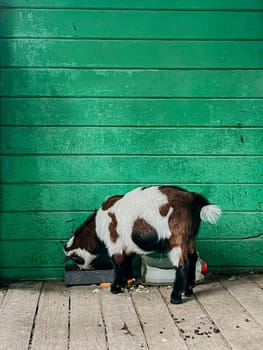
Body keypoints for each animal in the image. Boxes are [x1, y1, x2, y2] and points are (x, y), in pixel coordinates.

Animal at [64, 186, 223, 304]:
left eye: (75, 258)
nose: (82, 269)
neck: (98, 225)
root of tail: (193, 199)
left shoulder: (114, 243)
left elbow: (117, 264)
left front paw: (115, 288)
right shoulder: (127, 246)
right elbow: (126, 263)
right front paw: (126, 282)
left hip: (177, 238)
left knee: (182, 265)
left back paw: (175, 297)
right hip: (189, 237)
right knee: (193, 258)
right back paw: (188, 291)